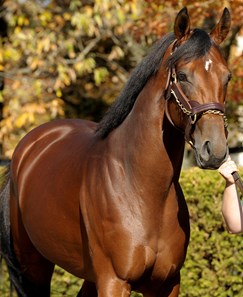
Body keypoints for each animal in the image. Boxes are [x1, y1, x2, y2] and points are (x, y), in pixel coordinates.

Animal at [0, 6, 232, 296]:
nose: (215, 149)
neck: (142, 188)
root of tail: (27, 147)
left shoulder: (167, 283)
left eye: (227, 76)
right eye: (182, 75)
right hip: (34, 266)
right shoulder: (114, 280)